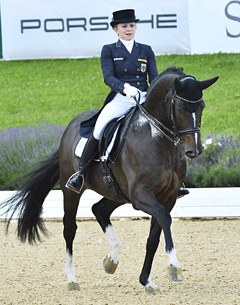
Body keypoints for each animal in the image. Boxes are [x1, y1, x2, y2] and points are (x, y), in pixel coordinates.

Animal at [0, 67, 218, 292]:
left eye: (201, 106)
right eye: (181, 107)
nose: (194, 150)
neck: (155, 136)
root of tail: (72, 125)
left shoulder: (167, 197)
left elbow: (153, 238)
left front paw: (147, 280)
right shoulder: (141, 195)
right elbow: (165, 218)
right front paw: (174, 266)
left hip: (118, 194)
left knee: (99, 210)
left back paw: (111, 260)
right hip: (71, 191)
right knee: (70, 229)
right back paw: (72, 279)